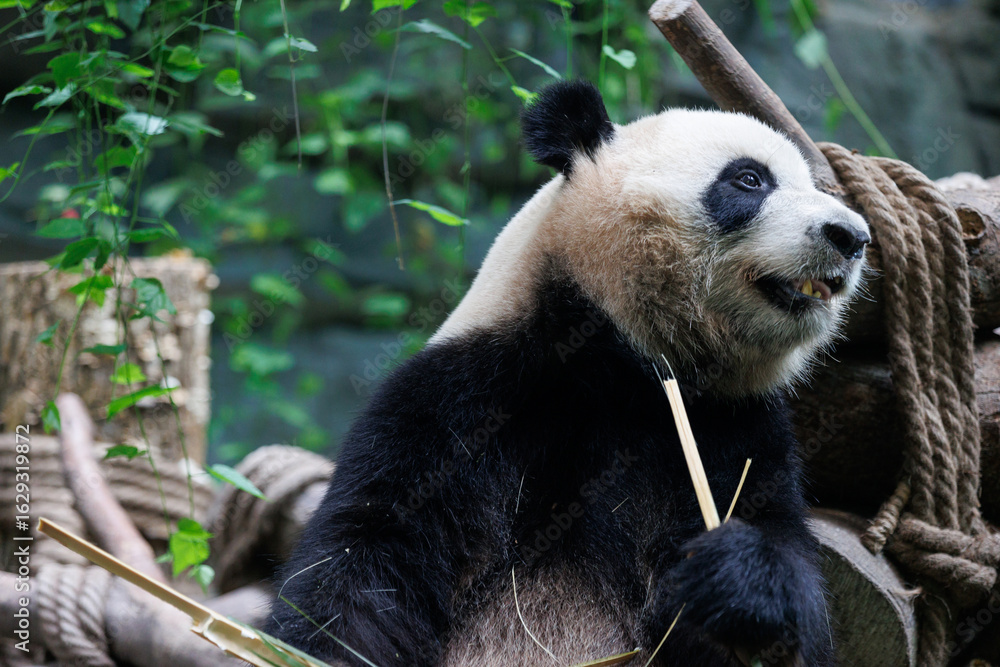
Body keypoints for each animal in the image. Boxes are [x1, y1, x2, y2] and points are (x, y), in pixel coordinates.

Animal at [267, 80, 870, 666]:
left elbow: (784, 567)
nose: (852, 237)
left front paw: (735, 580)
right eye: (749, 179)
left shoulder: (737, 429)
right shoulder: (463, 399)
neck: (623, 365)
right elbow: (369, 555)